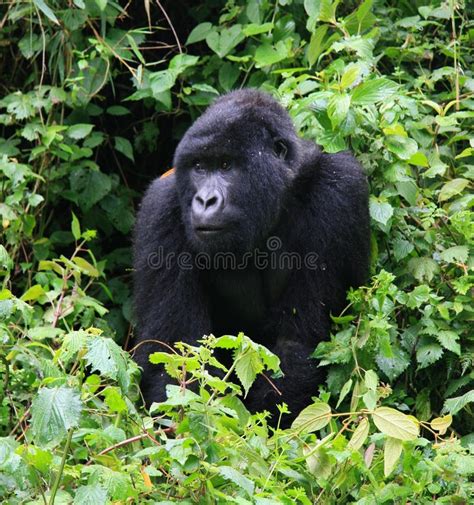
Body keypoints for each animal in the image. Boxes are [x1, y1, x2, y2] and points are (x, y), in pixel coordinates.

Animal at [133, 88, 370, 420]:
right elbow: (174, 354)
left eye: (225, 165)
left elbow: (299, 342)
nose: (204, 200)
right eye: (199, 167)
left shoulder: (341, 190)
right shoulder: (161, 207)